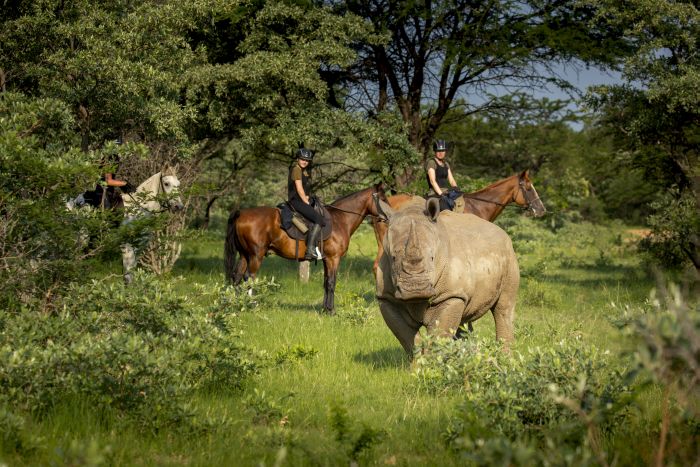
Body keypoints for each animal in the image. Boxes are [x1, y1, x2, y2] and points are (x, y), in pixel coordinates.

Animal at [226, 185, 386, 312]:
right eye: (383, 199)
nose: (387, 217)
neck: (340, 219)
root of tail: (241, 213)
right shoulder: (333, 259)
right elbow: (331, 283)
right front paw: (331, 311)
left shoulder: (326, 259)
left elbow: (326, 282)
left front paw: (325, 309)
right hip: (256, 256)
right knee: (249, 277)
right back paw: (252, 305)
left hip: (245, 255)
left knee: (237, 276)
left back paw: (237, 305)